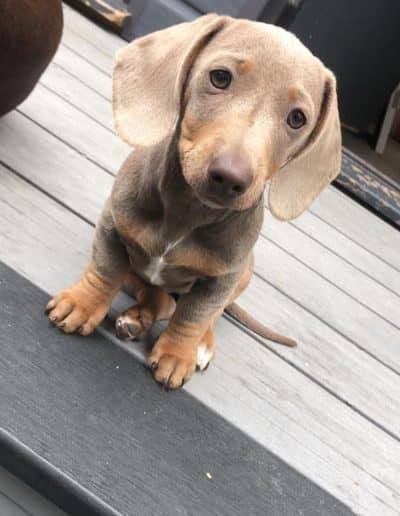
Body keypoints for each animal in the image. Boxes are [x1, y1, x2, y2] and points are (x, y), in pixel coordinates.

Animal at [46, 14, 340, 390]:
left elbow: (195, 316)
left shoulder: (221, 280)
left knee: (194, 312)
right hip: (139, 274)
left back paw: (197, 342)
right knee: (158, 298)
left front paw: (178, 353)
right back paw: (137, 318)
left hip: (243, 272)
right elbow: (105, 271)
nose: (230, 177)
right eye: (220, 77)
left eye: (297, 118)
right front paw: (82, 305)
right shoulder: (113, 227)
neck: (189, 211)